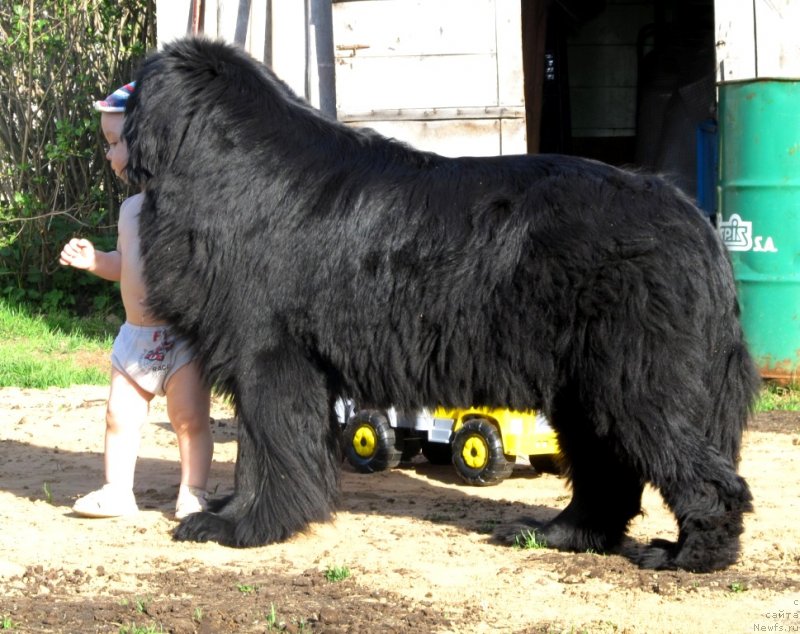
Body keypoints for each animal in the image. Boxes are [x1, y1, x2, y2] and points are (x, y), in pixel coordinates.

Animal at [123, 37, 756, 572]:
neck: (233, 167)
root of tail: (693, 221)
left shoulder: (266, 352)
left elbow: (265, 447)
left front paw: (239, 527)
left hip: (635, 379)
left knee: (697, 469)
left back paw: (689, 555)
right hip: (584, 385)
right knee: (606, 470)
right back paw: (559, 534)